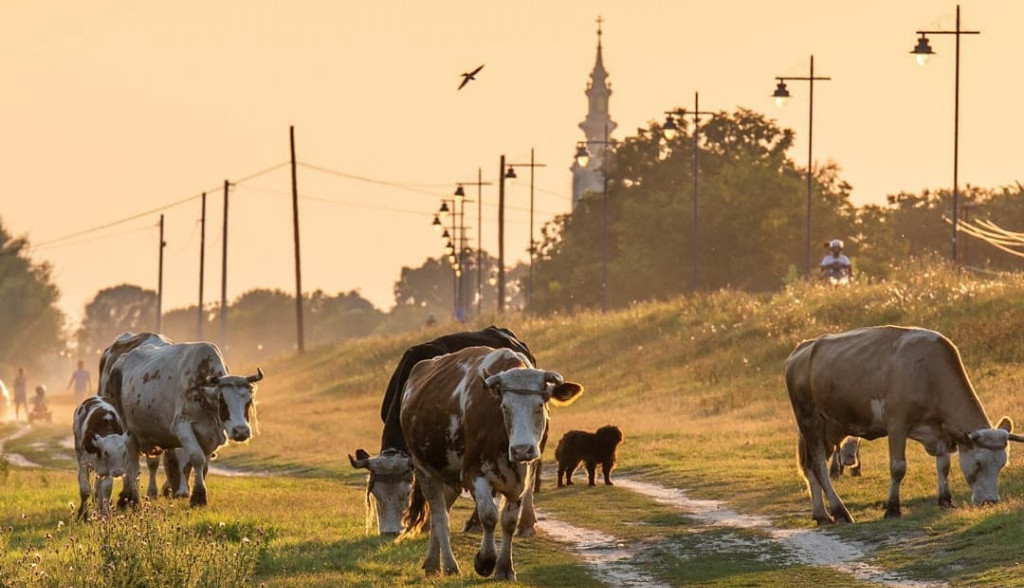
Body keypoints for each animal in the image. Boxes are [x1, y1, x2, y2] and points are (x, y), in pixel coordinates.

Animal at [100, 344, 262, 510]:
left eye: (248, 401)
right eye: (222, 400)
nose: (241, 431)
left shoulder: (211, 436)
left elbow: (204, 465)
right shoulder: (182, 427)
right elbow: (197, 458)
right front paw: (198, 497)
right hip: (129, 432)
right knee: (132, 463)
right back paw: (130, 499)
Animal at [397, 348, 581, 581]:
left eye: (540, 406)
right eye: (505, 407)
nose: (522, 449)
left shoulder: (522, 478)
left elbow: (509, 521)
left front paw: (505, 568)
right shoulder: (474, 473)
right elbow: (489, 515)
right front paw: (485, 561)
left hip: (450, 478)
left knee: (442, 512)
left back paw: (432, 564)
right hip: (424, 470)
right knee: (439, 515)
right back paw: (449, 565)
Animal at [786, 327, 1019, 524]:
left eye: (1002, 464)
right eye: (979, 463)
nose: (990, 501)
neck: (928, 374)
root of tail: (803, 348)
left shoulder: (942, 431)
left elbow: (944, 466)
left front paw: (945, 500)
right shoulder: (897, 425)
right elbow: (898, 467)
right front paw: (892, 508)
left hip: (831, 428)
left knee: (811, 466)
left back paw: (821, 514)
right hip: (810, 421)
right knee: (818, 466)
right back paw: (839, 511)